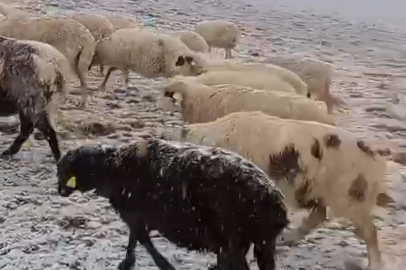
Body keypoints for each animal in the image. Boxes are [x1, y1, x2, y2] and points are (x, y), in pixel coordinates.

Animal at [57, 137, 288, 270]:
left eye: (63, 170)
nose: (59, 191)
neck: (111, 167)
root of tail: (274, 199)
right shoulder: (136, 217)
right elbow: (134, 239)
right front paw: (127, 263)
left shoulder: (135, 215)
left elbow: (142, 241)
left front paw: (161, 266)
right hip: (263, 242)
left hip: (235, 240)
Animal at [173, 109, 392, 270]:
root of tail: (372, 154)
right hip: (319, 193)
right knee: (319, 215)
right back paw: (286, 240)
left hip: (350, 197)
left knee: (369, 231)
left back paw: (374, 266)